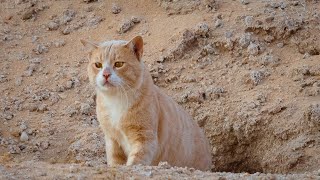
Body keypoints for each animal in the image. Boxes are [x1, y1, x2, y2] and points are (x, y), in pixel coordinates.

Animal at [80, 35, 211, 171]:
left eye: (119, 64)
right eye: (98, 65)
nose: (105, 74)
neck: (116, 100)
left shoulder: (145, 137)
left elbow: (137, 159)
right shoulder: (112, 139)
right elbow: (115, 160)